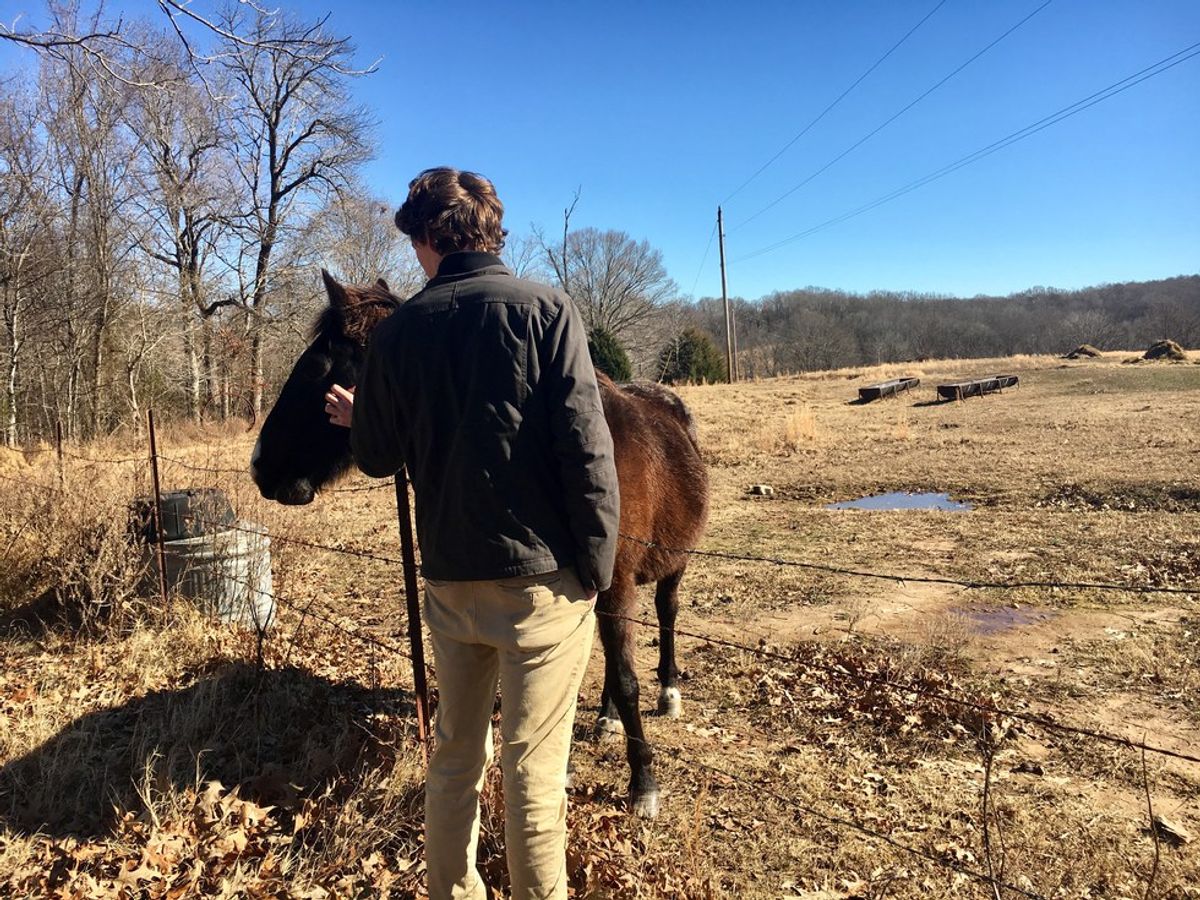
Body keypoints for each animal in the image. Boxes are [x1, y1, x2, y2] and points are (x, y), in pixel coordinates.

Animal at [249, 271, 705, 820]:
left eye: (317, 368)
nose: (260, 464)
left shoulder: (615, 585)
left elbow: (626, 676)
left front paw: (643, 785)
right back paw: (606, 717)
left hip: (669, 569)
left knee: (667, 613)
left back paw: (669, 691)